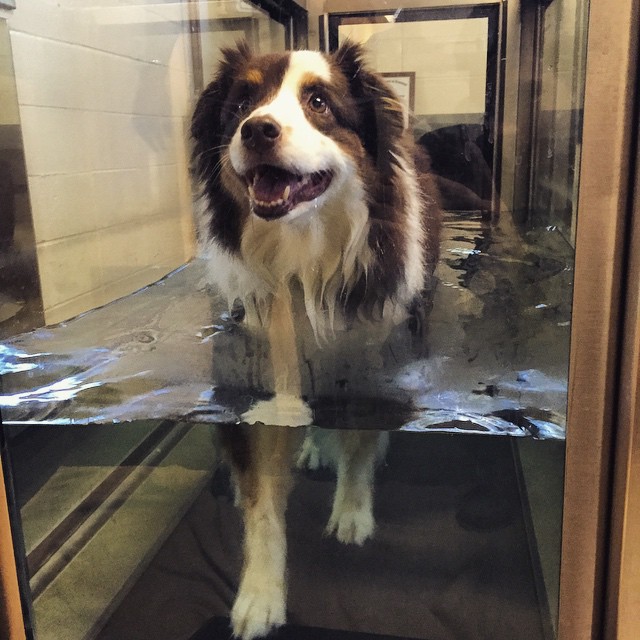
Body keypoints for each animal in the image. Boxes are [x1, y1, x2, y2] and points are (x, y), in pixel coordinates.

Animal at [191, 41, 441, 639]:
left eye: (320, 102)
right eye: (241, 104)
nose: (257, 130)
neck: (300, 250)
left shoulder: (374, 359)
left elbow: (360, 439)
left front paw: (351, 511)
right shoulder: (252, 380)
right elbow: (261, 500)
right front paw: (260, 594)